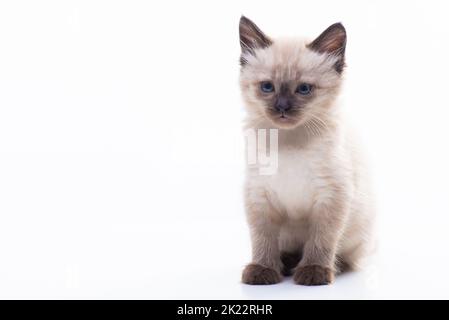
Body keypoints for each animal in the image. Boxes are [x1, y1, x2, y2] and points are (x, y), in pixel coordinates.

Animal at [240, 16, 372, 284]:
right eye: (267, 87)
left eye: (303, 89)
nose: (282, 107)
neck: (289, 141)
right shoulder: (258, 196)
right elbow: (262, 240)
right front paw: (262, 270)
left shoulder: (331, 197)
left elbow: (321, 240)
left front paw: (314, 272)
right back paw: (286, 264)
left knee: (343, 256)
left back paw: (323, 268)